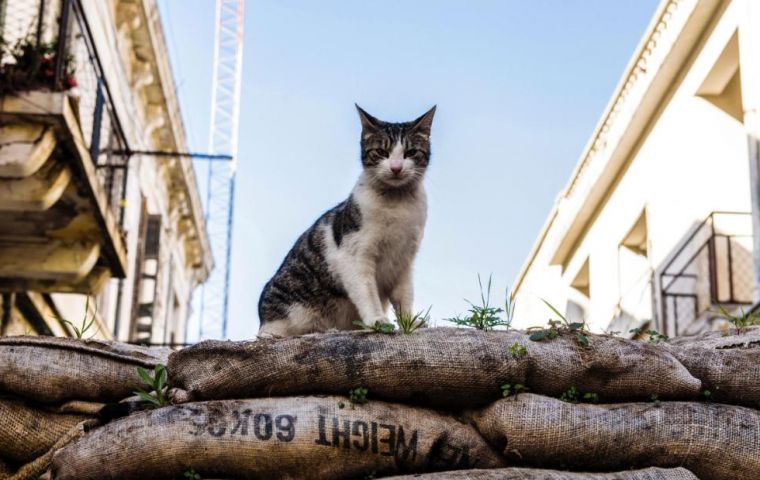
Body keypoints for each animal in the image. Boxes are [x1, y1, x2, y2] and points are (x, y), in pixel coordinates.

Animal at [256, 104, 436, 338]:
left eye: (410, 153)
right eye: (382, 152)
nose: (396, 167)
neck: (398, 204)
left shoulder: (404, 261)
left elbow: (404, 297)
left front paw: (410, 323)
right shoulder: (354, 257)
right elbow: (367, 293)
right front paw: (377, 321)